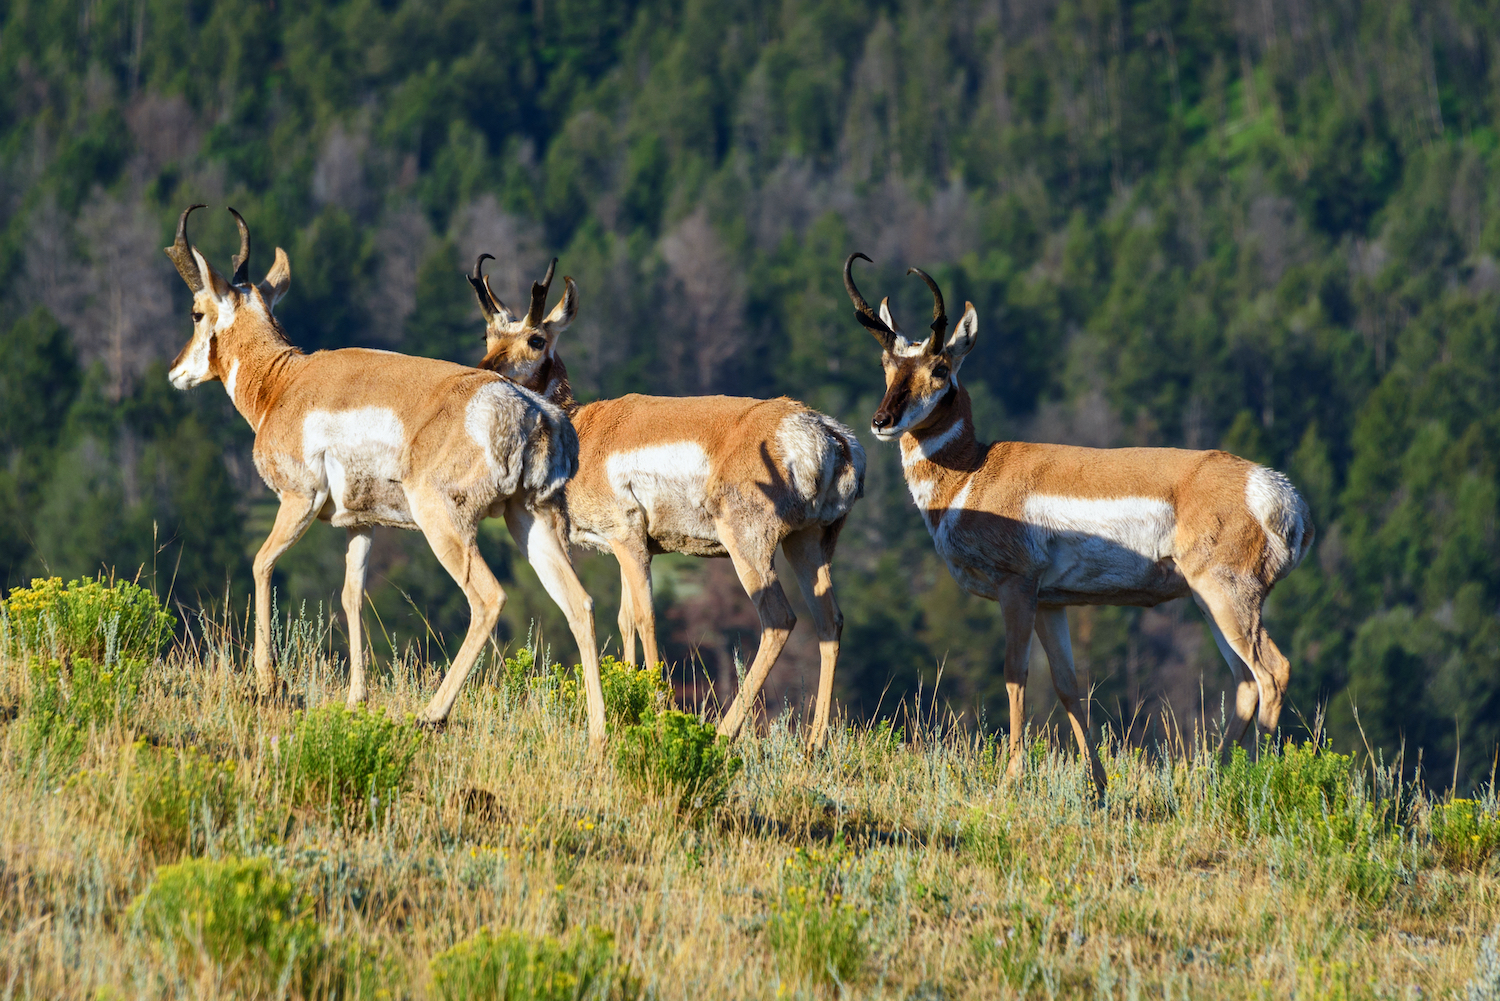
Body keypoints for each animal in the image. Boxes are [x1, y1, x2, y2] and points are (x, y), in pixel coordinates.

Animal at [163, 205, 606, 741]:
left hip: (445, 524)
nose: (174, 370)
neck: (284, 382)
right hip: (529, 520)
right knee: (579, 603)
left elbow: (261, 563)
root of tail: (533, 410)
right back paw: (599, 735)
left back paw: (431, 714)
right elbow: (351, 595)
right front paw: (357, 699)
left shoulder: (298, 501)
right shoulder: (361, 524)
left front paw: (267, 683)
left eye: (195, 312)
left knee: (489, 598)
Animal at [466, 254, 865, 747]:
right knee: (830, 621)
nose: (485, 369)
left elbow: (647, 617)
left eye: (536, 338)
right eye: (488, 335)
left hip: (749, 544)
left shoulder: (629, 540)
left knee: (779, 619)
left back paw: (724, 732)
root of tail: (827, 433)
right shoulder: (626, 548)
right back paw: (814, 743)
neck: (584, 428)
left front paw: (655, 712)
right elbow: (625, 619)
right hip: (808, 543)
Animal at [842, 254, 1313, 796]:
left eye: (940, 367)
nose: (881, 421)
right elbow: (1069, 687)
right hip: (1207, 601)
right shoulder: (1052, 602)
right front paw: (1099, 785)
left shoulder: (1017, 587)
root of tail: (1278, 493)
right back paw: (1214, 780)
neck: (975, 471)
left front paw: (1012, 777)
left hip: (1227, 594)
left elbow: (1015, 673)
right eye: (887, 364)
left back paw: (1259, 780)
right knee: (1244, 683)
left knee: (1271, 672)